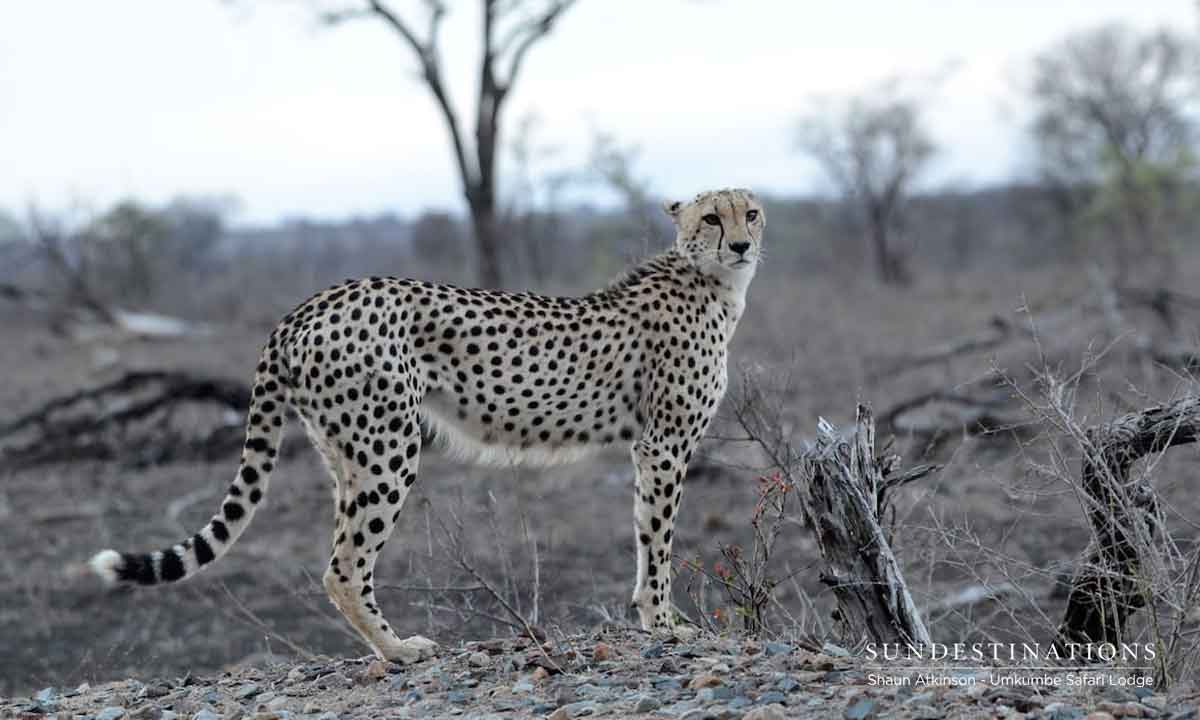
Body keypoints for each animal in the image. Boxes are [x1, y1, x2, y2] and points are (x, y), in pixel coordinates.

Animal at [90, 187, 765, 663]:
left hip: (345, 452)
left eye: (751, 213)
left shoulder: (652, 447)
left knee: (344, 552)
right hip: (388, 448)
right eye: (712, 218)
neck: (713, 286)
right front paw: (664, 623)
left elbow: (647, 535)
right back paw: (399, 650)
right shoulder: (663, 445)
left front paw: (654, 618)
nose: (740, 245)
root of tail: (309, 303)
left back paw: (385, 645)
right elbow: (658, 538)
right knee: (343, 565)